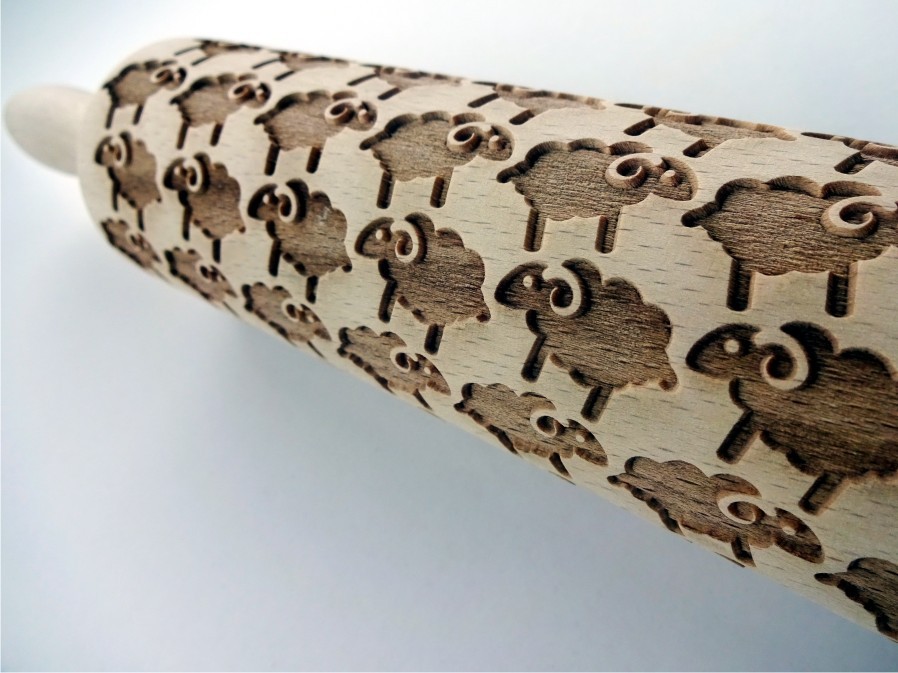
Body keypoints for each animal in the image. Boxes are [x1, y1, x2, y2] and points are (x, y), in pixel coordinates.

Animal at [494, 259, 677, 422]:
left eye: (530, 283)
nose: (503, 295)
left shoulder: (549, 341)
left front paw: (530, 376)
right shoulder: (547, 341)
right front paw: (530, 376)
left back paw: (590, 414)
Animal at [497, 140, 695, 252]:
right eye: (668, 177)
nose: (690, 193)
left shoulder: (613, 210)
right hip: (542, 206)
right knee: (539, 223)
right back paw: (535, 246)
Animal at [686, 321, 898, 514]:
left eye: (733, 346)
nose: (696, 360)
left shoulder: (758, 416)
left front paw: (728, 456)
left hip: (842, 465)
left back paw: (810, 505)